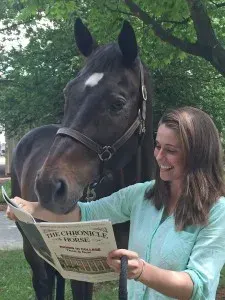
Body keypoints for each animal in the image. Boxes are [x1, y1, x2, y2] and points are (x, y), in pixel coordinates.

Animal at [10, 18, 155, 300]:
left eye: (118, 103)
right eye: (68, 93)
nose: (48, 186)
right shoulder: (83, 274)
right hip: (31, 245)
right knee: (42, 283)